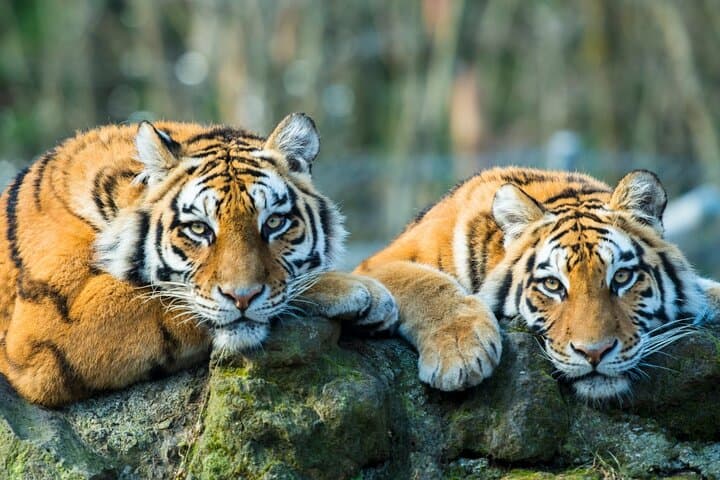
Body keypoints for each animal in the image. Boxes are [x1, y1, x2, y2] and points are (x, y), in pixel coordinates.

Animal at [0, 113, 398, 407]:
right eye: (198, 228)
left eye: (273, 222)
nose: (242, 297)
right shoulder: (47, 326)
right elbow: (164, 298)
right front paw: (359, 290)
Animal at [356, 166, 720, 400]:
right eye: (553, 285)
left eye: (621, 277)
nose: (594, 353)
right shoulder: (375, 265)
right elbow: (425, 282)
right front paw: (459, 354)